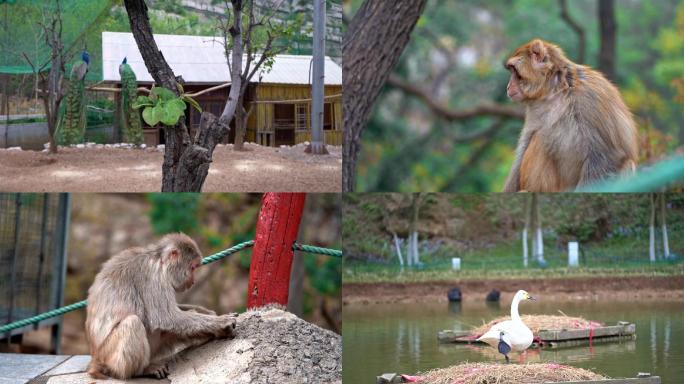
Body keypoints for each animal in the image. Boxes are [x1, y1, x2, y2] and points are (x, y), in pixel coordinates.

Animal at [85, 232, 236, 380]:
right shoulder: (153, 276)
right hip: (109, 354)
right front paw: (221, 321)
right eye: (192, 267)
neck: (159, 259)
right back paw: (140, 371)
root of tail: (96, 357)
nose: (193, 281)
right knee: (133, 323)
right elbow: (165, 317)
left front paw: (208, 314)